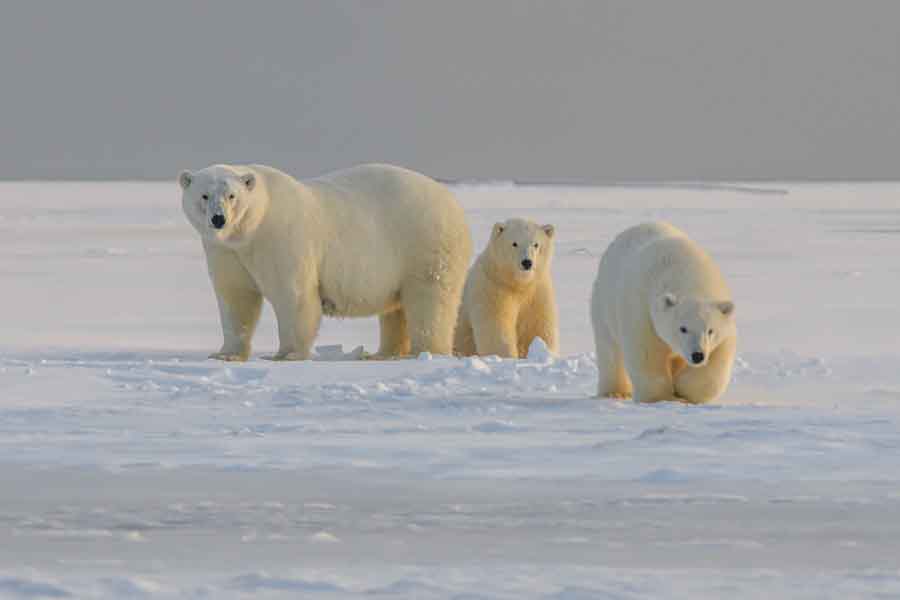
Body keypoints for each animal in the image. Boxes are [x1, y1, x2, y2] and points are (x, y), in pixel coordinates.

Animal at [178, 163, 473, 361]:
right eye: (204, 195)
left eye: (232, 196)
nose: (219, 219)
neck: (251, 229)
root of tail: (453, 203)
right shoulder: (226, 251)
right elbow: (235, 297)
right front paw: (225, 354)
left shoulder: (281, 238)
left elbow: (293, 295)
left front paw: (286, 354)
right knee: (396, 308)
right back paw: (382, 353)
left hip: (424, 243)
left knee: (430, 299)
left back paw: (425, 351)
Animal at [454, 218, 558, 358]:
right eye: (514, 243)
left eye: (536, 244)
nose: (527, 262)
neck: (517, 283)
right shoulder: (493, 288)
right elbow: (497, 328)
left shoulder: (536, 291)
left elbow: (537, 327)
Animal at [590, 221, 736, 404]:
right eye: (683, 328)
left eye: (710, 330)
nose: (697, 355)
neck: (688, 275)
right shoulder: (643, 312)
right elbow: (647, 355)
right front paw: (663, 397)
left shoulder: (724, 327)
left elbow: (717, 361)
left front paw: (682, 390)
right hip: (604, 303)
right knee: (609, 350)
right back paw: (615, 392)